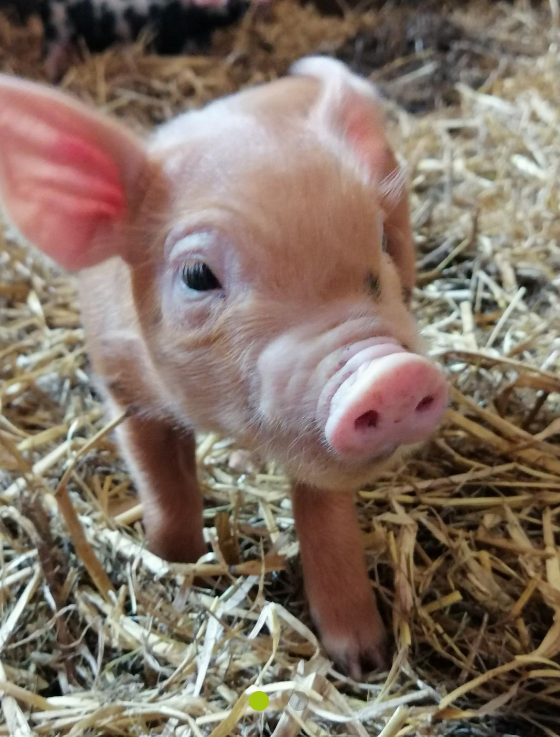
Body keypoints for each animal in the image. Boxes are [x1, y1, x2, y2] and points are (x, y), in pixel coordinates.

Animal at [0, 57, 448, 677]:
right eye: (196, 275)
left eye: (377, 238)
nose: (392, 375)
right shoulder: (123, 386)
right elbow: (165, 491)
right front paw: (173, 566)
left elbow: (327, 521)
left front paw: (364, 661)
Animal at [36, 0, 255, 80]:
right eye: (231, 3)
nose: (249, 4)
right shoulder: (170, 36)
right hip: (59, 27)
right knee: (50, 54)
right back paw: (52, 77)